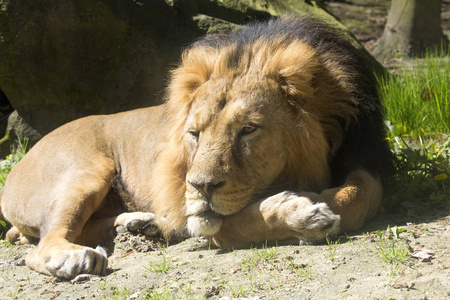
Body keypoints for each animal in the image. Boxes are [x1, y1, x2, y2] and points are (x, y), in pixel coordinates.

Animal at [0, 16, 390, 278]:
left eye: (248, 130)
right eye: (194, 133)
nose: (200, 186)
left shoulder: (367, 157)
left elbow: (360, 196)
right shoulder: (202, 214)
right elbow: (229, 225)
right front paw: (299, 214)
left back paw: (140, 224)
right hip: (86, 172)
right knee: (42, 245)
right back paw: (75, 257)